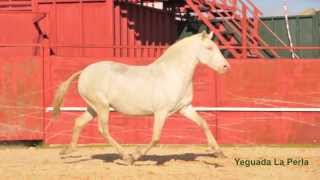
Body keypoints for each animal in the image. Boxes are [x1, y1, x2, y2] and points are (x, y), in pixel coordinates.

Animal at [52, 31, 230, 165]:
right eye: (209, 48)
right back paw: (126, 157)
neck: (173, 74)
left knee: (79, 122)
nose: (226, 67)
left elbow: (204, 124)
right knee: (103, 130)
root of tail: (84, 71)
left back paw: (67, 151)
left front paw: (219, 152)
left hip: (93, 108)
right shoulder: (161, 112)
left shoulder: (185, 108)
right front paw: (136, 156)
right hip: (101, 107)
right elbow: (156, 138)